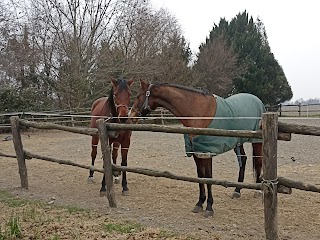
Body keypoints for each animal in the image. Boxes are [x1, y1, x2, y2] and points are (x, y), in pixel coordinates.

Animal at [128, 80, 264, 218]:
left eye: (138, 96)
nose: (130, 115)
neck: (198, 113)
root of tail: (257, 100)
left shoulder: (207, 152)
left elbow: (208, 178)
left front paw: (209, 207)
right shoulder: (196, 152)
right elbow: (200, 176)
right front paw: (199, 203)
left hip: (257, 142)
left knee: (258, 162)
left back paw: (258, 190)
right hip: (238, 141)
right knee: (243, 160)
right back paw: (237, 190)